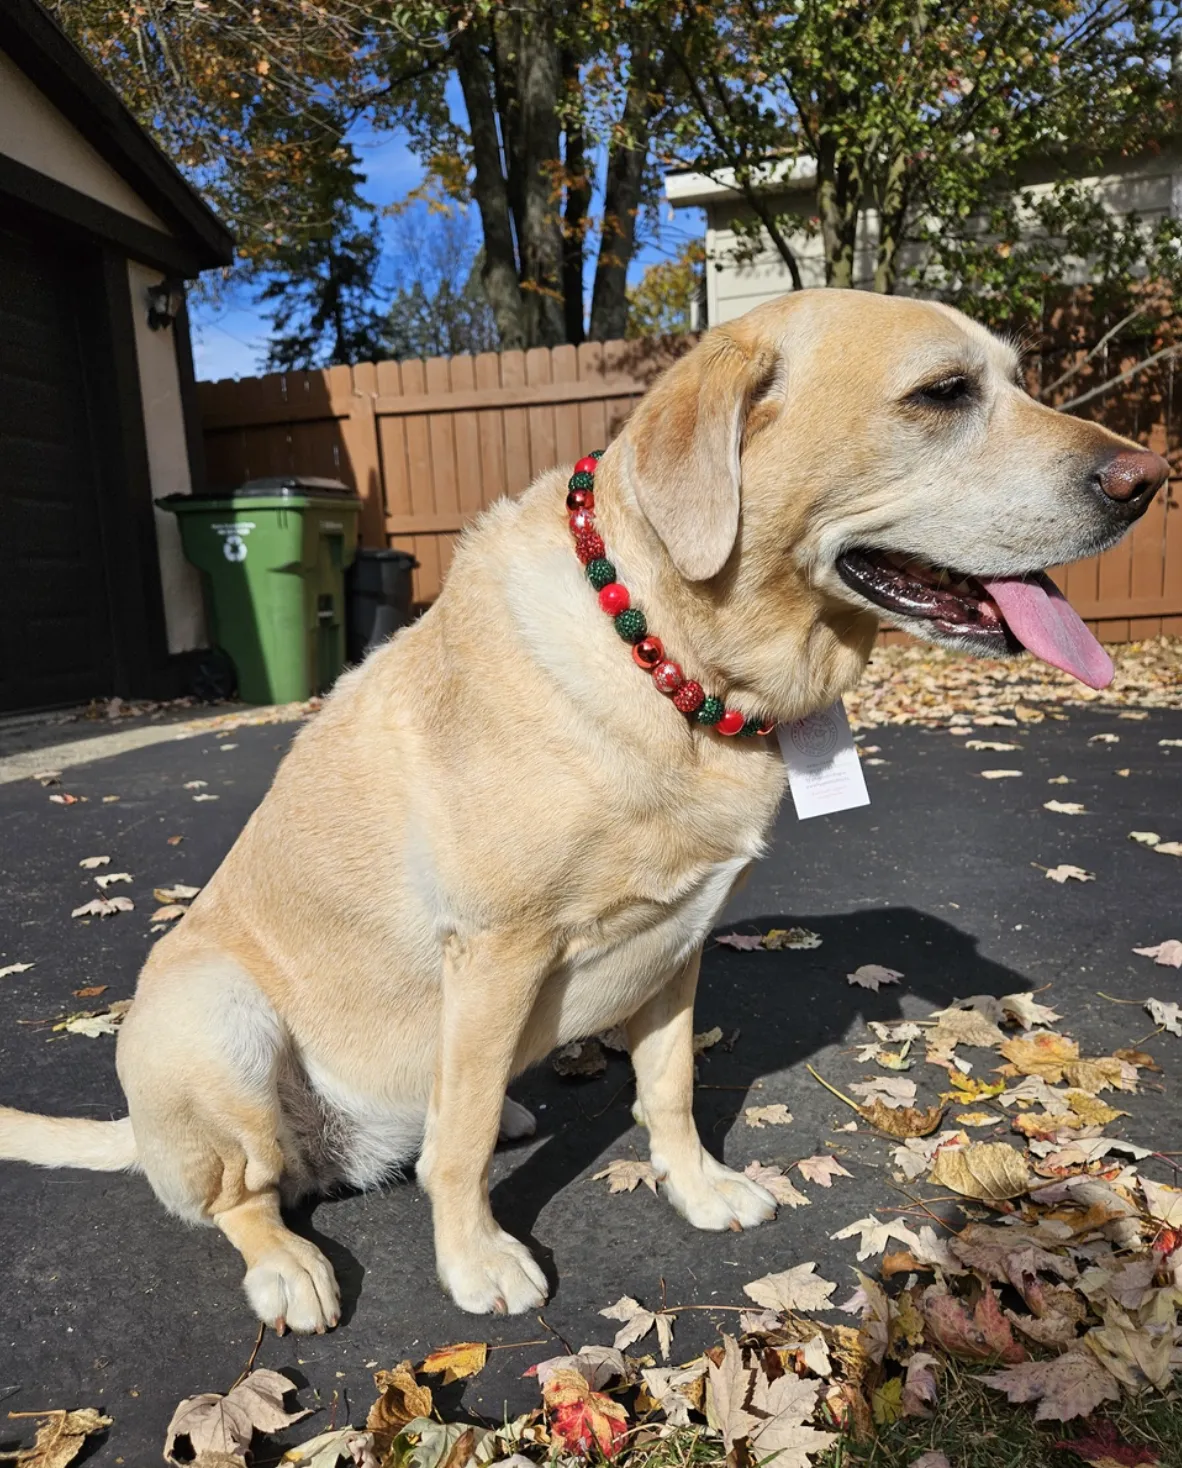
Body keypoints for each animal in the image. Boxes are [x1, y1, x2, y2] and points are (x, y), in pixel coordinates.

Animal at [0, 286, 1168, 1332]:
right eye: (943, 392)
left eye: (1015, 377)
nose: (1149, 479)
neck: (675, 665)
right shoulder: (497, 947)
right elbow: (462, 1143)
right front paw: (475, 1258)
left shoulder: (679, 941)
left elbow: (668, 1088)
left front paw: (696, 1187)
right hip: (213, 1015)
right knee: (248, 1196)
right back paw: (288, 1263)